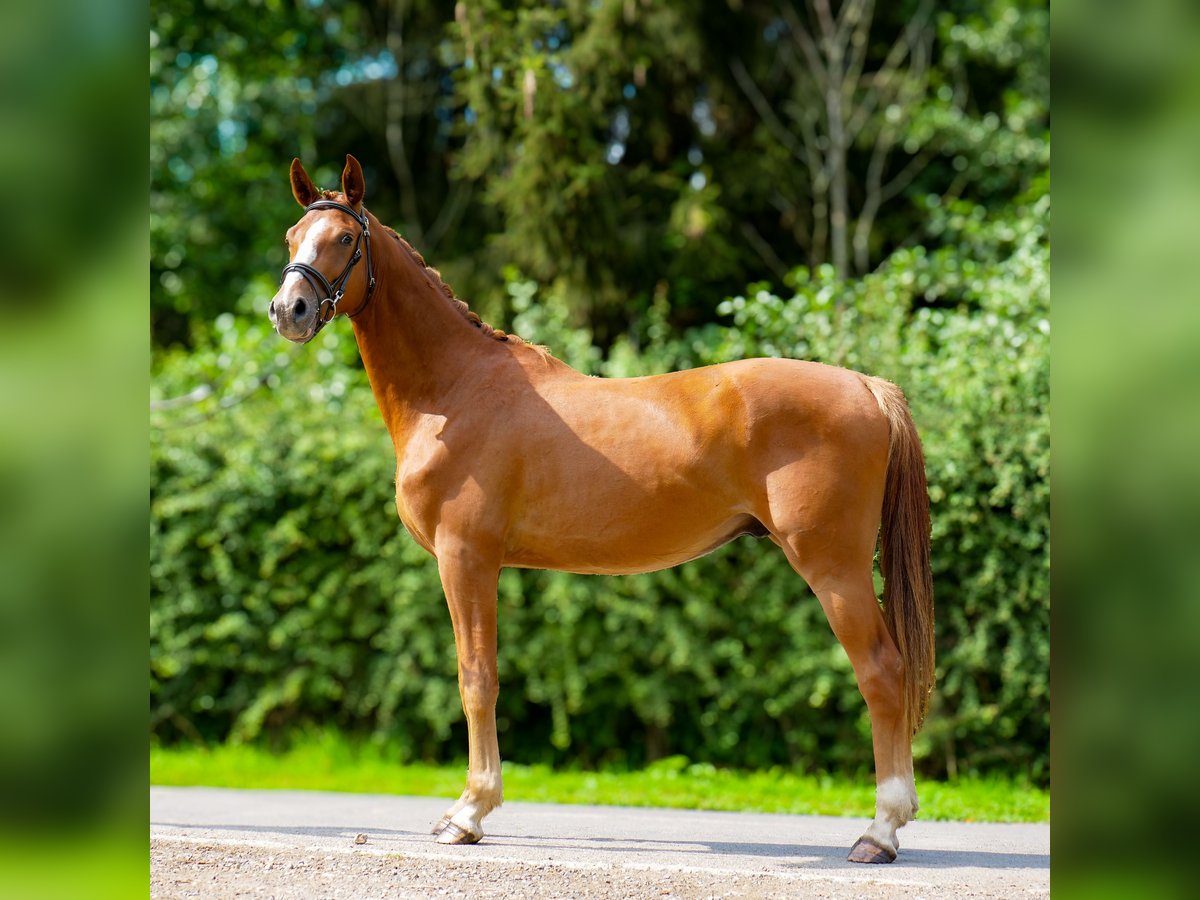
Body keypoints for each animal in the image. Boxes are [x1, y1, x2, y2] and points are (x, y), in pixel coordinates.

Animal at [272, 157, 936, 868]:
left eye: (345, 238)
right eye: (292, 235)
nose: (289, 309)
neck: (454, 391)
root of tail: (866, 385)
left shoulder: (466, 558)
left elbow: (477, 679)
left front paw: (468, 813)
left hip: (834, 567)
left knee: (882, 672)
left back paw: (880, 831)